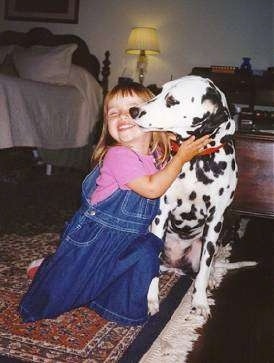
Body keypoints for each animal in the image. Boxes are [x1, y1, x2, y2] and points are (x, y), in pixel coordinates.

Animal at [128, 75, 238, 318]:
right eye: (159, 91)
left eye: (172, 100)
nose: (133, 110)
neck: (198, 160)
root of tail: (175, 267)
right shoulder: (162, 213)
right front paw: (151, 299)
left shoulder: (215, 220)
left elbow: (205, 269)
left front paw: (200, 301)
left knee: (209, 265)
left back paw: (213, 279)